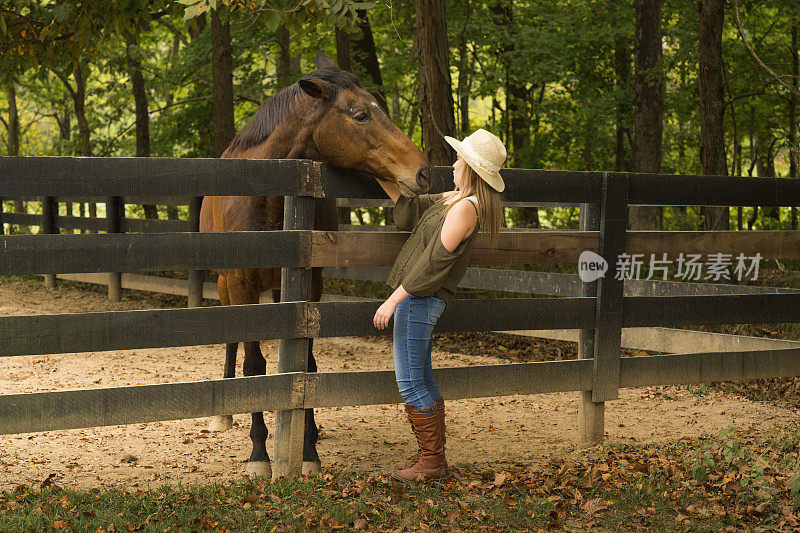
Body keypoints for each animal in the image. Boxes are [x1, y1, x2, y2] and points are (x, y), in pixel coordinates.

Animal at [198, 52, 432, 476]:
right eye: (360, 115)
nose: (423, 171)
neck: (267, 200)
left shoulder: (310, 286)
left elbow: (305, 364)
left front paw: (307, 449)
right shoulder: (241, 283)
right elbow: (253, 364)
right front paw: (259, 454)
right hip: (227, 285)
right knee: (231, 340)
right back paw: (224, 413)